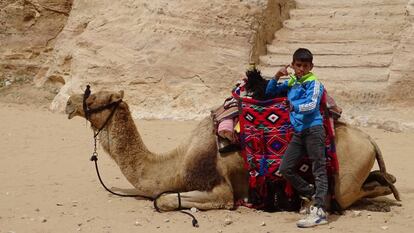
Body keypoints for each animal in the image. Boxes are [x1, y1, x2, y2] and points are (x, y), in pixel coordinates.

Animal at [65, 88, 402, 211]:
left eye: (93, 98)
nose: (69, 103)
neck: (176, 163)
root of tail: (369, 139)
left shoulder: (219, 187)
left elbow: (163, 199)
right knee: (378, 179)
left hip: (346, 175)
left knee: (349, 194)